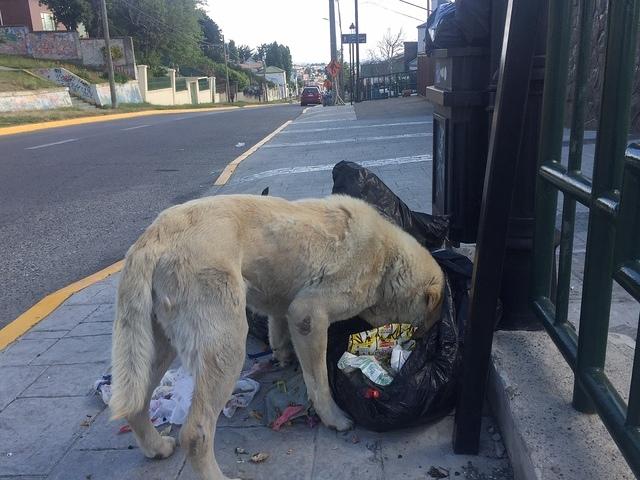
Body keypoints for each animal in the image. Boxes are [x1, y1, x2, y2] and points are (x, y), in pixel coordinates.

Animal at [110, 194, 444, 480]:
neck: (387, 260)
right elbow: (319, 381)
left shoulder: (286, 309)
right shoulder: (309, 316)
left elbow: (278, 328)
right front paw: (333, 418)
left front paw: (282, 355)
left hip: (157, 344)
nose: (427, 337)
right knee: (195, 432)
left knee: (137, 404)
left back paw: (156, 447)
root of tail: (152, 239)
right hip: (228, 344)